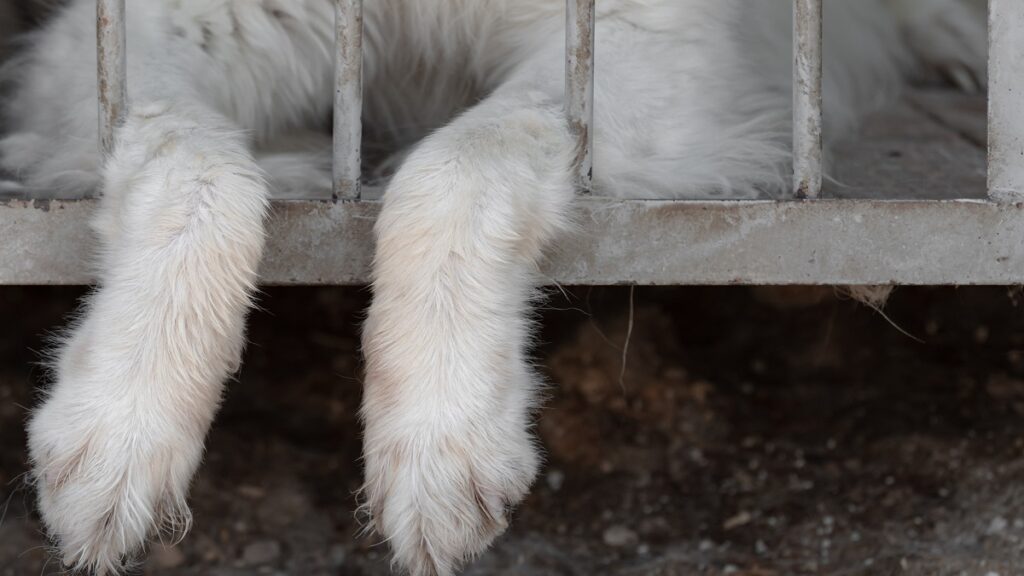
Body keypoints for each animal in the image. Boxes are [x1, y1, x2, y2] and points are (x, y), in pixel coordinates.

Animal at [2, 1, 991, 573]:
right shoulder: (147, 34)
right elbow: (192, 170)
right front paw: (120, 425)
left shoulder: (638, 40)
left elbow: (458, 163)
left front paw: (444, 435)